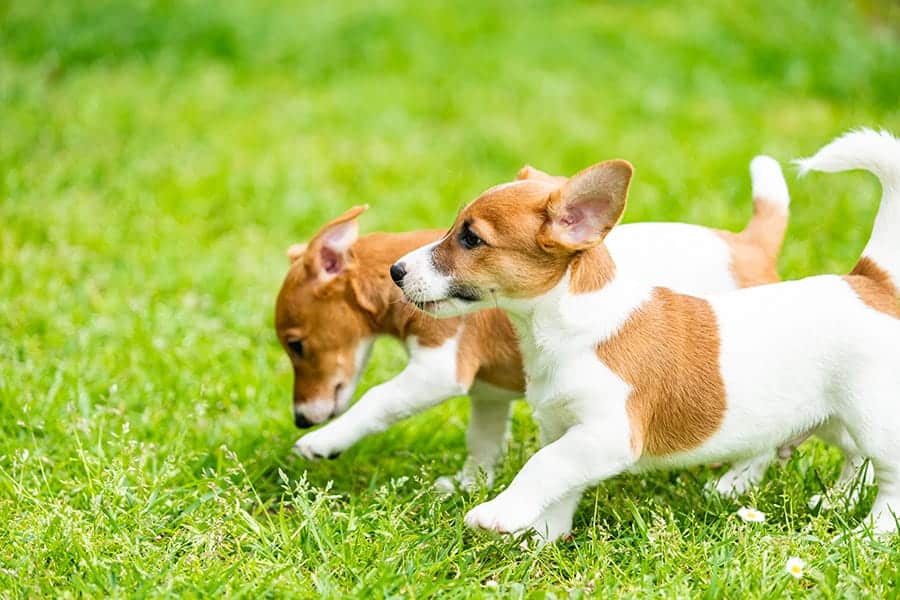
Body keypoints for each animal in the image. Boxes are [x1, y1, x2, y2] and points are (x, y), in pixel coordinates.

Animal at [278, 159, 792, 492]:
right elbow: (482, 444)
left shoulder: (438, 371)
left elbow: (377, 401)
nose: (397, 272)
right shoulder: (486, 397)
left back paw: (732, 484)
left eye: (296, 345)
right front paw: (469, 486)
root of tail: (749, 246)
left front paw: (322, 441)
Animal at [396, 131, 900, 544]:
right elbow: (559, 487)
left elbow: (544, 467)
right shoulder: (564, 429)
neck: (570, 325)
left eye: (471, 239)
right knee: (853, 459)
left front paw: (500, 514)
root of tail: (869, 282)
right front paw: (543, 539)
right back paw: (829, 500)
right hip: (830, 417)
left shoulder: (606, 434)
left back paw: (871, 532)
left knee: (888, 476)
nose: (396, 271)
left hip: (873, 420)